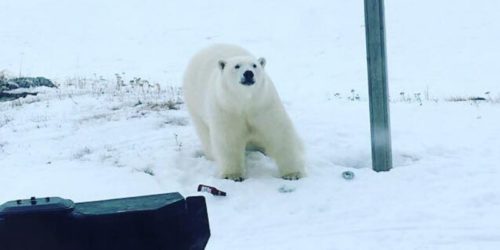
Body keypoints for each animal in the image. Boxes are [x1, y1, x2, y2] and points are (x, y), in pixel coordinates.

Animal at [182, 44, 302, 182]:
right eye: (237, 66)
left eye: (255, 65)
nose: (248, 73)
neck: (245, 102)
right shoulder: (226, 109)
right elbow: (229, 139)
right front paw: (233, 175)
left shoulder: (264, 105)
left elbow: (278, 133)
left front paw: (293, 173)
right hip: (195, 105)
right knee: (205, 133)